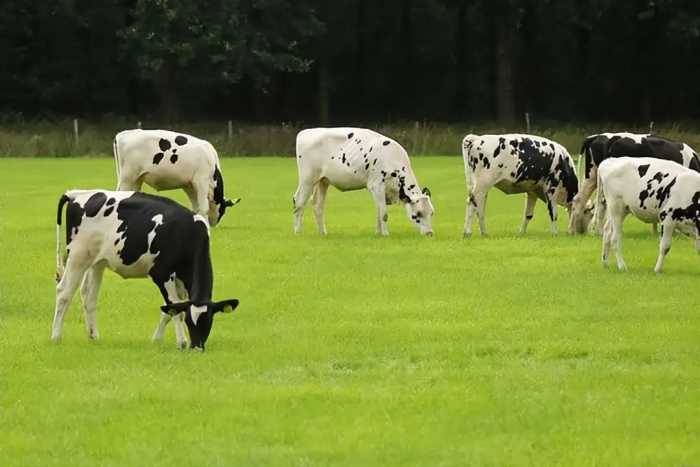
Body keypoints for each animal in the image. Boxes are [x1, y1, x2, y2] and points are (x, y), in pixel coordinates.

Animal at [50, 190, 239, 352]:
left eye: (209, 321)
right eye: (190, 322)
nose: (197, 348)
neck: (186, 234)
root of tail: (76, 194)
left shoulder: (181, 281)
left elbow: (170, 310)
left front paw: (156, 339)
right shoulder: (161, 274)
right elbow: (174, 309)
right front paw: (182, 342)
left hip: (97, 262)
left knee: (89, 296)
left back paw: (94, 336)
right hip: (77, 257)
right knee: (64, 293)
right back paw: (56, 336)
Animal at [290, 127, 432, 236]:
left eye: (432, 213)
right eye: (417, 215)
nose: (429, 233)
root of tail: (305, 132)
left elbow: (379, 212)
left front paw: (378, 233)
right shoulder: (376, 185)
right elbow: (384, 213)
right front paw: (386, 234)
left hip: (323, 181)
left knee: (317, 205)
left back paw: (323, 232)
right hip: (307, 180)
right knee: (299, 202)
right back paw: (298, 232)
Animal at [464, 134, 592, 238]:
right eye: (588, 213)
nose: (584, 232)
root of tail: (477, 138)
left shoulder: (532, 191)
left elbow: (528, 215)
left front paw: (521, 233)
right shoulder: (551, 188)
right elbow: (553, 212)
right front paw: (555, 233)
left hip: (482, 187)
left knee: (479, 208)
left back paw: (484, 233)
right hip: (482, 184)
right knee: (472, 203)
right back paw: (467, 232)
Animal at [568, 133, 700, 234]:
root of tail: (596, 136)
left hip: (591, 176)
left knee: (580, 199)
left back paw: (573, 230)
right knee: (602, 203)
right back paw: (599, 231)